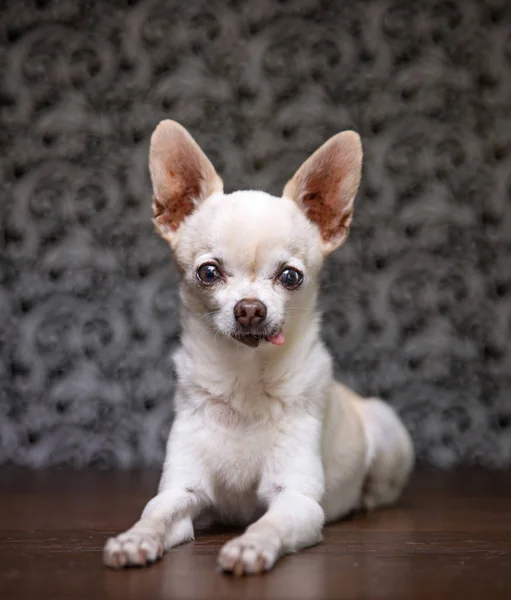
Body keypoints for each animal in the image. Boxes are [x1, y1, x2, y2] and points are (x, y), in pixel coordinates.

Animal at [104, 119, 416, 576]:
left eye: (290, 277)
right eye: (208, 272)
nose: (250, 309)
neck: (245, 380)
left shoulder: (297, 500)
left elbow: (270, 524)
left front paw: (250, 546)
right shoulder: (182, 489)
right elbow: (155, 514)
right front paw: (134, 539)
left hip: (388, 431)